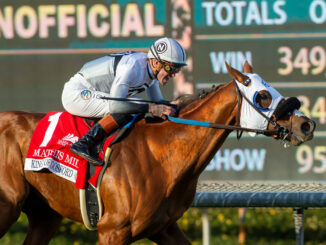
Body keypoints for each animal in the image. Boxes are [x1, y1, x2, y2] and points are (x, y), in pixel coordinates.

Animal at [0, 62, 316, 244]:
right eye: (262, 96)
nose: (306, 124)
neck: (160, 154)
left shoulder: (163, 227)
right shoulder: (112, 230)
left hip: (45, 215)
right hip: (9, 205)